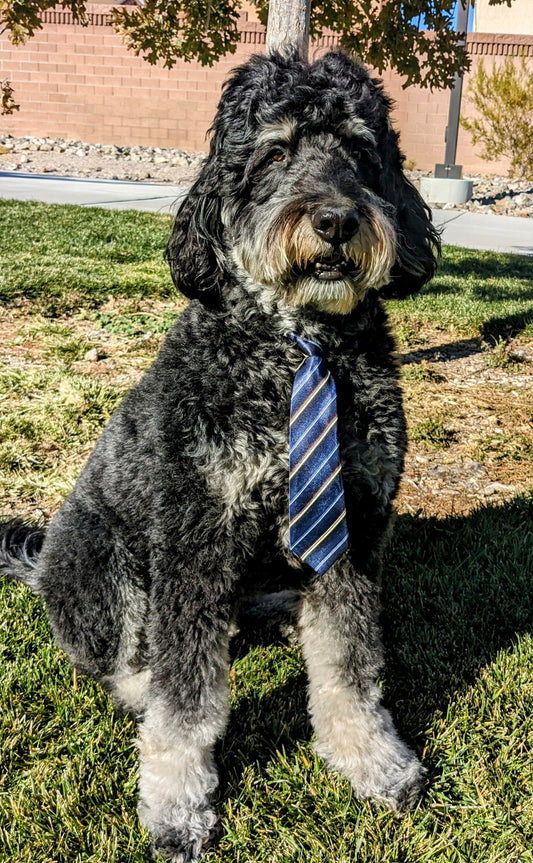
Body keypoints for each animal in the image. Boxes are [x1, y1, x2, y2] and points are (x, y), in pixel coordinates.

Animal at [1, 49, 436, 863]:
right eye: (274, 153)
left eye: (360, 151)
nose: (336, 220)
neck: (296, 348)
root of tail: (38, 563)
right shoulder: (196, 540)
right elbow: (188, 702)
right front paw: (175, 800)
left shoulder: (355, 530)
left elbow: (350, 666)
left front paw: (372, 760)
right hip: (110, 568)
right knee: (122, 662)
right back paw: (142, 681)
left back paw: (278, 610)